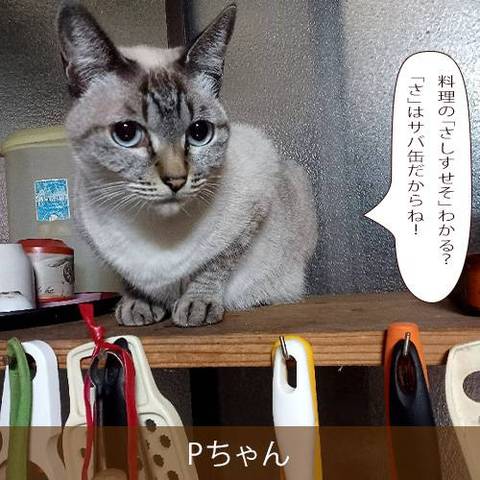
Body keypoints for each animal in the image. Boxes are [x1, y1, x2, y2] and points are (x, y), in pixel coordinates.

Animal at [57, 1, 318, 327]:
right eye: (126, 133)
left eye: (199, 133)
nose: (176, 180)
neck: (157, 232)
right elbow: (129, 277)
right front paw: (138, 305)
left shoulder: (256, 199)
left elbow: (214, 264)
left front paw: (196, 306)